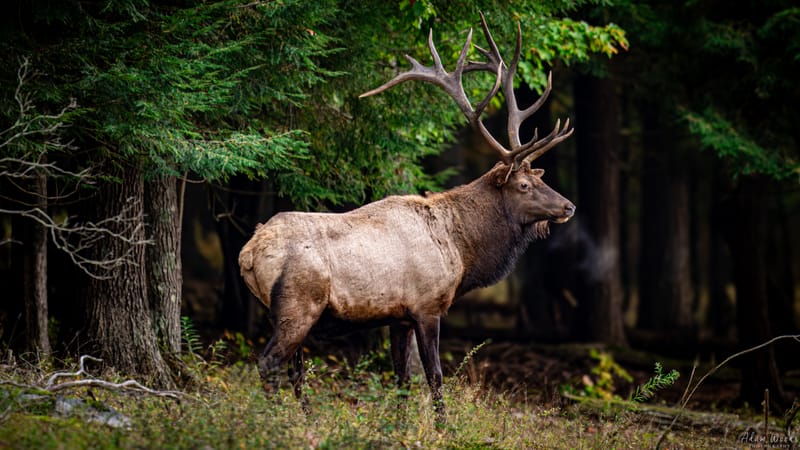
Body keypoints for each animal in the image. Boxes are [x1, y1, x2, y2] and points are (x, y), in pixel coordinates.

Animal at [238, 14, 576, 422]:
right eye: (524, 185)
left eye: (538, 178)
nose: (569, 206)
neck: (462, 251)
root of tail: (248, 253)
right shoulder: (426, 307)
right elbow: (434, 376)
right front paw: (443, 426)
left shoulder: (397, 316)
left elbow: (401, 379)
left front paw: (398, 426)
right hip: (299, 302)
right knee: (269, 364)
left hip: (281, 311)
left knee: (295, 370)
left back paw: (307, 421)